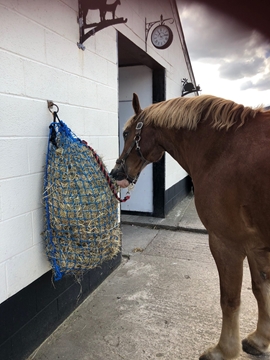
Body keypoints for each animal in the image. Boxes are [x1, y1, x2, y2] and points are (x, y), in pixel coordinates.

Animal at [110, 93, 270, 360]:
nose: (116, 172)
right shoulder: (256, 245)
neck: (222, 149)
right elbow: (261, 289)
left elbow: (230, 299)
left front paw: (223, 350)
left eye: (125, 132)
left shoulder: (227, 243)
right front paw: (259, 339)